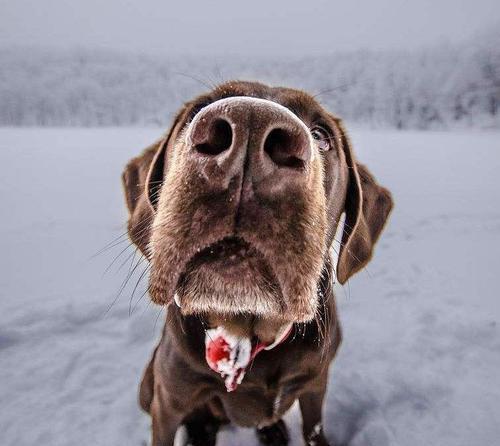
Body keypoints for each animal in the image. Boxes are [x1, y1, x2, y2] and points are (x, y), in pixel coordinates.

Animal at [122, 81, 394, 446]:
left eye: (321, 135)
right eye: (196, 112)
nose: (249, 126)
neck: (245, 333)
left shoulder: (315, 384)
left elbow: (313, 429)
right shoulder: (169, 400)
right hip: (147, 385)